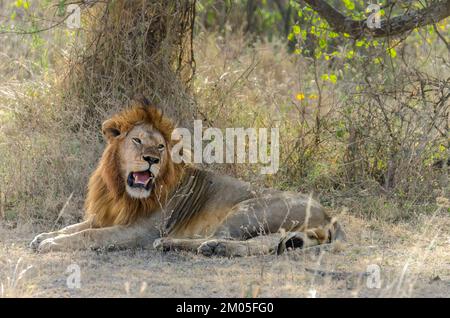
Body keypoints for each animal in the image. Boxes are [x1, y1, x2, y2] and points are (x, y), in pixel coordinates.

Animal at [29, 98, 344, 258]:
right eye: (137, 140)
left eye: (160, 147)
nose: (152, 160)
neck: (121, 190)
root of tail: (329, 215)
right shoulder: (107, 215)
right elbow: (75, 227)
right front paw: (45, 236)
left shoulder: (139, 231)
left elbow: (90, 235)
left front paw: (52, 244)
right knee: (271, 243)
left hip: (247, 210)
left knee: (249, 243)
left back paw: (198, 245)